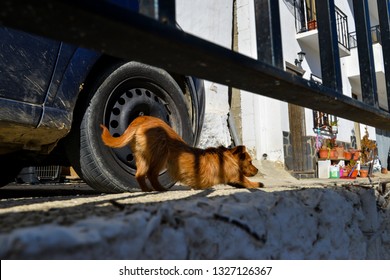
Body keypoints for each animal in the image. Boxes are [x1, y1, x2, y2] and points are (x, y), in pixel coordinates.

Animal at [99, 115, 264, 191]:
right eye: (250, 161)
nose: (257, 170)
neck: (227, 156)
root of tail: (144, 118)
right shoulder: (236, 176)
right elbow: (246, 181)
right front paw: (258, 183)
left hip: (142, 157)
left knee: (139, 174)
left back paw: (147, 190)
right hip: (161, 155)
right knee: (151, 174)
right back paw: (160, 189)